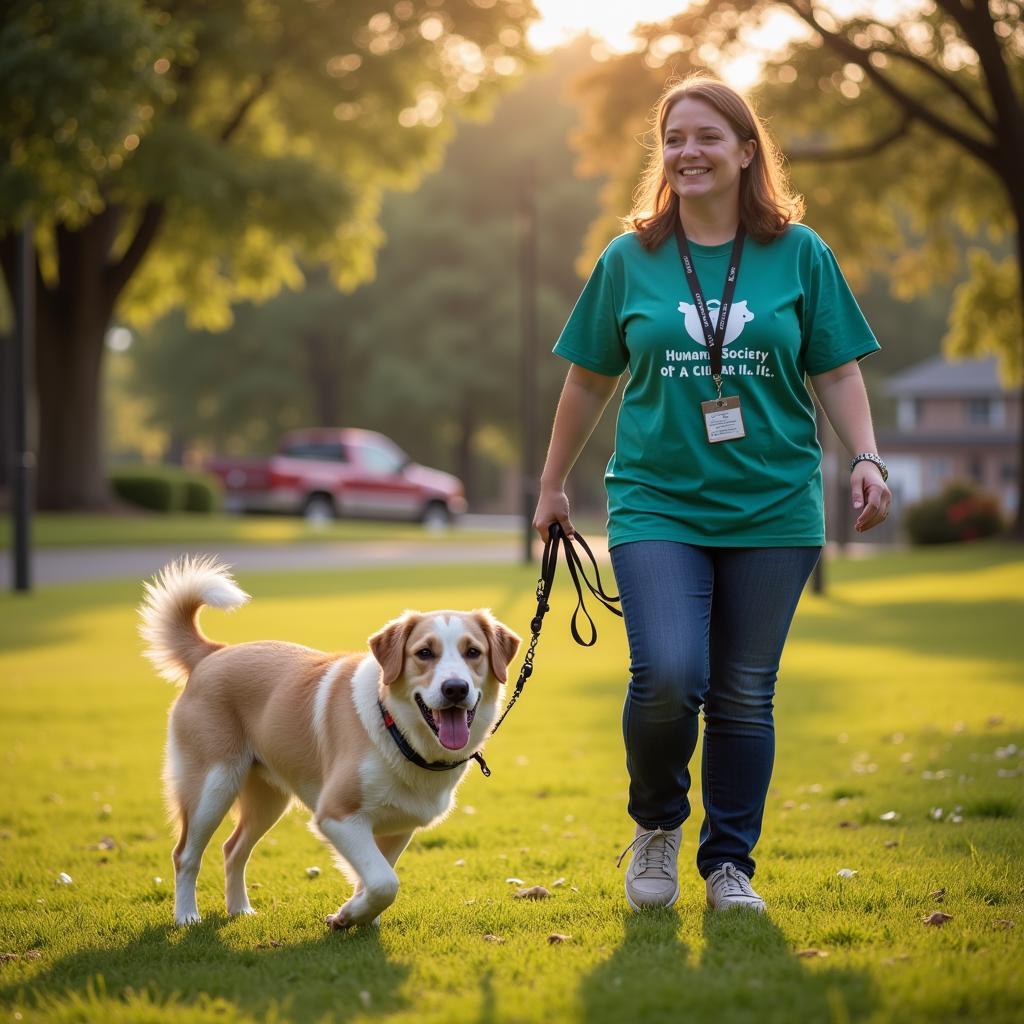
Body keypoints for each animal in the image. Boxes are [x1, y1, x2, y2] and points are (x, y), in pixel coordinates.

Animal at [140, 557, 520, 933]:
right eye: (424, 653)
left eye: (473, 652)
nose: (455, 688)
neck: (395, 729)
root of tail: (213, 653)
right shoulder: (337, 816)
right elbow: (384, 882)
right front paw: (351, 916)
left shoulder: (399, 826)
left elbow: (374, 878)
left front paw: (355, 916)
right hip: (213, 786)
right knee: (185, 855)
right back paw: (187, 916)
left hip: (268, 798)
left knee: (233, 849)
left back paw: (239, 909)